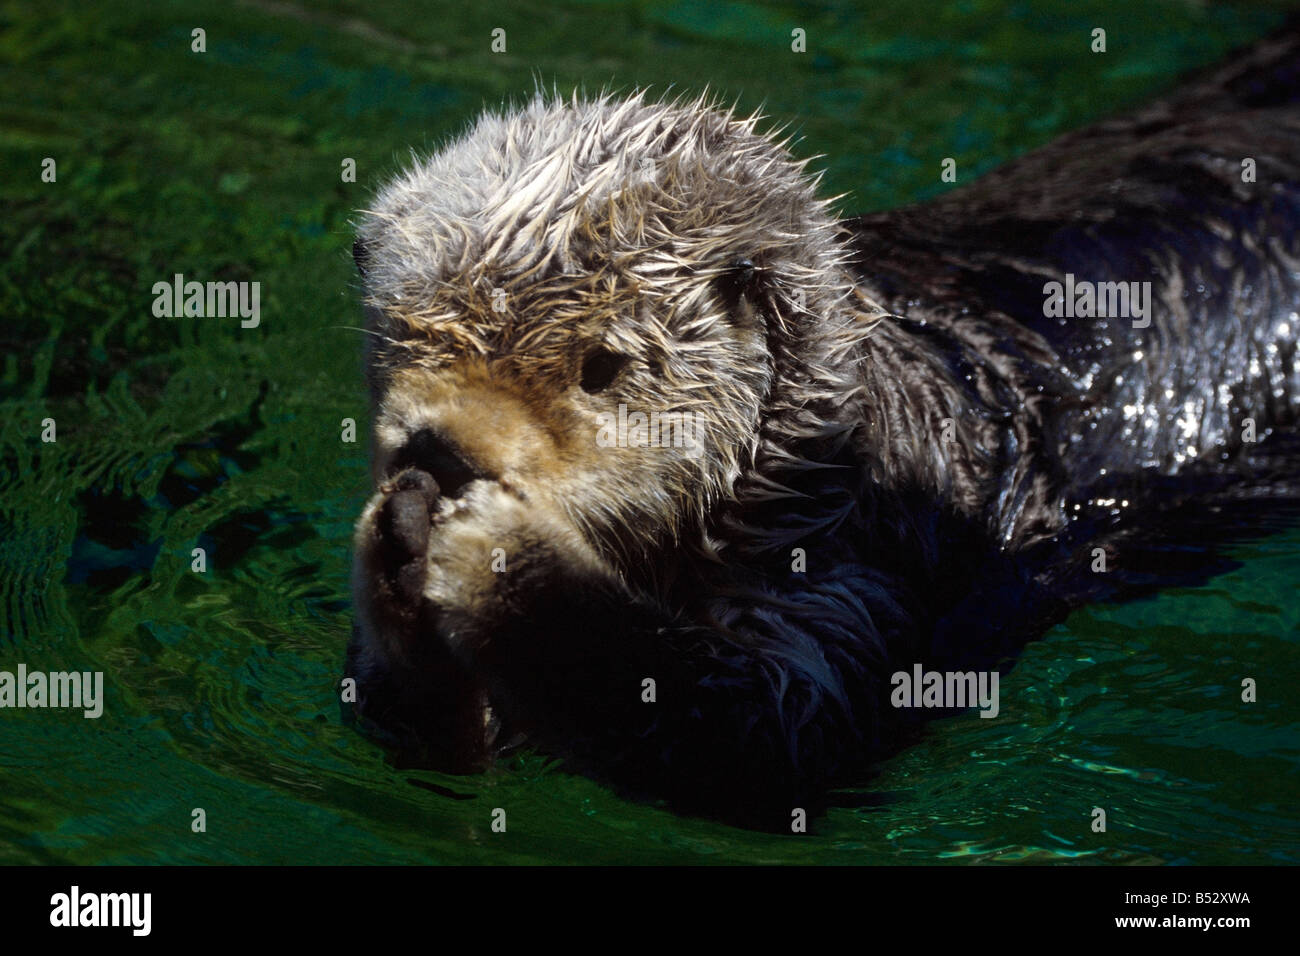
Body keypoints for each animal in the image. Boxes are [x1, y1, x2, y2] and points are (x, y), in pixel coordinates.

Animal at [343, 26, 1300, 827]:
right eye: (397, 331)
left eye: (601, 368)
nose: (442, 449)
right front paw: (398, 532)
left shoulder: (860, 565)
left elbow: (767, 732)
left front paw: (497, 553)